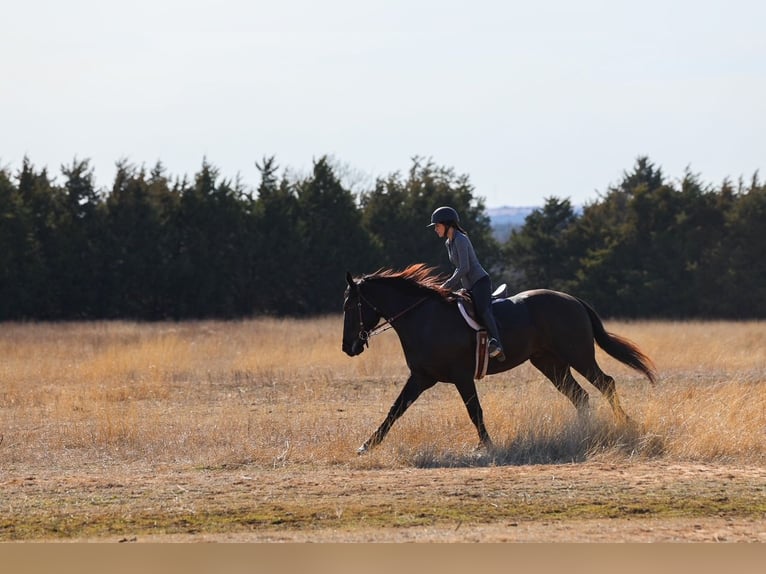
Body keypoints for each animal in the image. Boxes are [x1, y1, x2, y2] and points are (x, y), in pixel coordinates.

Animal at [342, 263, 656, 453]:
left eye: (350, 306)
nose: (348, 347)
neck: (425, 318)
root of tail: (572, 300)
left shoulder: (461, 377)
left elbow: (475, 411)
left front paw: (487, 445)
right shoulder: (421, 377)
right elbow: (395, 410)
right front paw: (367, 445)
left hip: (578, 355)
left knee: (606, 383)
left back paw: (626, 424)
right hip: (551, 364)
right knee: (579, 395)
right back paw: (583, 433)